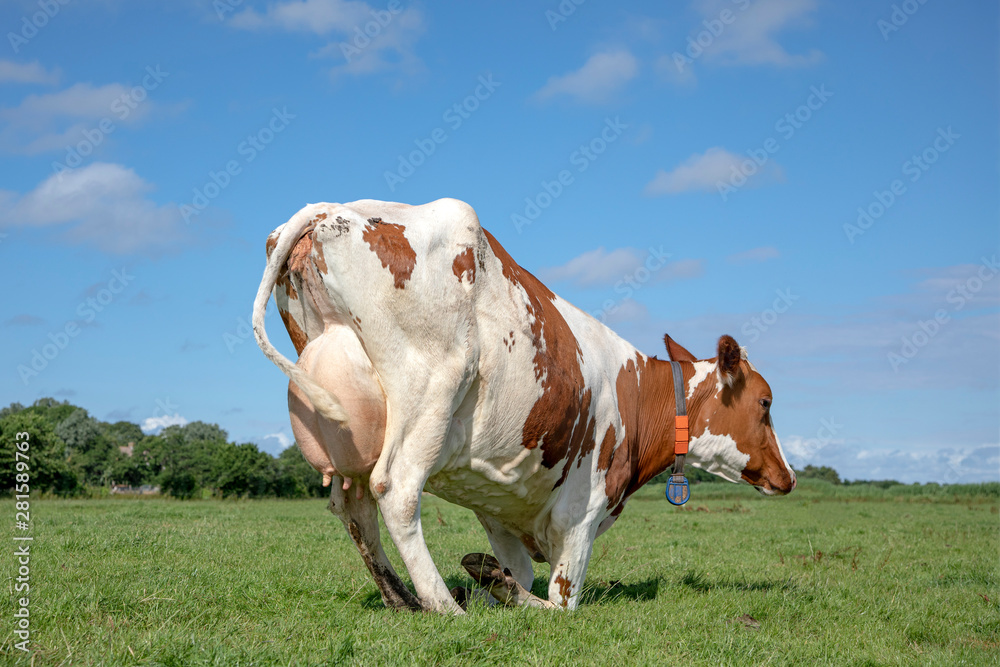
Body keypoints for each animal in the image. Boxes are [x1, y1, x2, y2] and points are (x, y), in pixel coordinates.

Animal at [252, 198, 796, 614]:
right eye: (766, 402)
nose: (787, 476)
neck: (637, 395)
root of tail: (329, 209)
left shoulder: (501, 508)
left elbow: (518, 572)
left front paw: (493, 584)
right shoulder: (582, 512)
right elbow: (560, 604)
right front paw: (493, 589)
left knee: (353, 504)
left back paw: (402, 599)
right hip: (431, 390)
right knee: (396, 489)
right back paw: (443, 606)